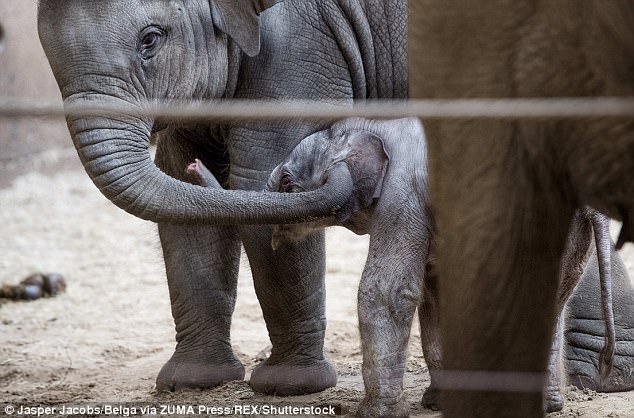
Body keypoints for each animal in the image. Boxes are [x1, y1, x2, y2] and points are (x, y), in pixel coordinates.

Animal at [37, 0, 404, 396]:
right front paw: (191, 381)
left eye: (150, 40)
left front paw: (290, 386)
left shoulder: (301, 47)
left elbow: (259, 178)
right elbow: (184, 203)